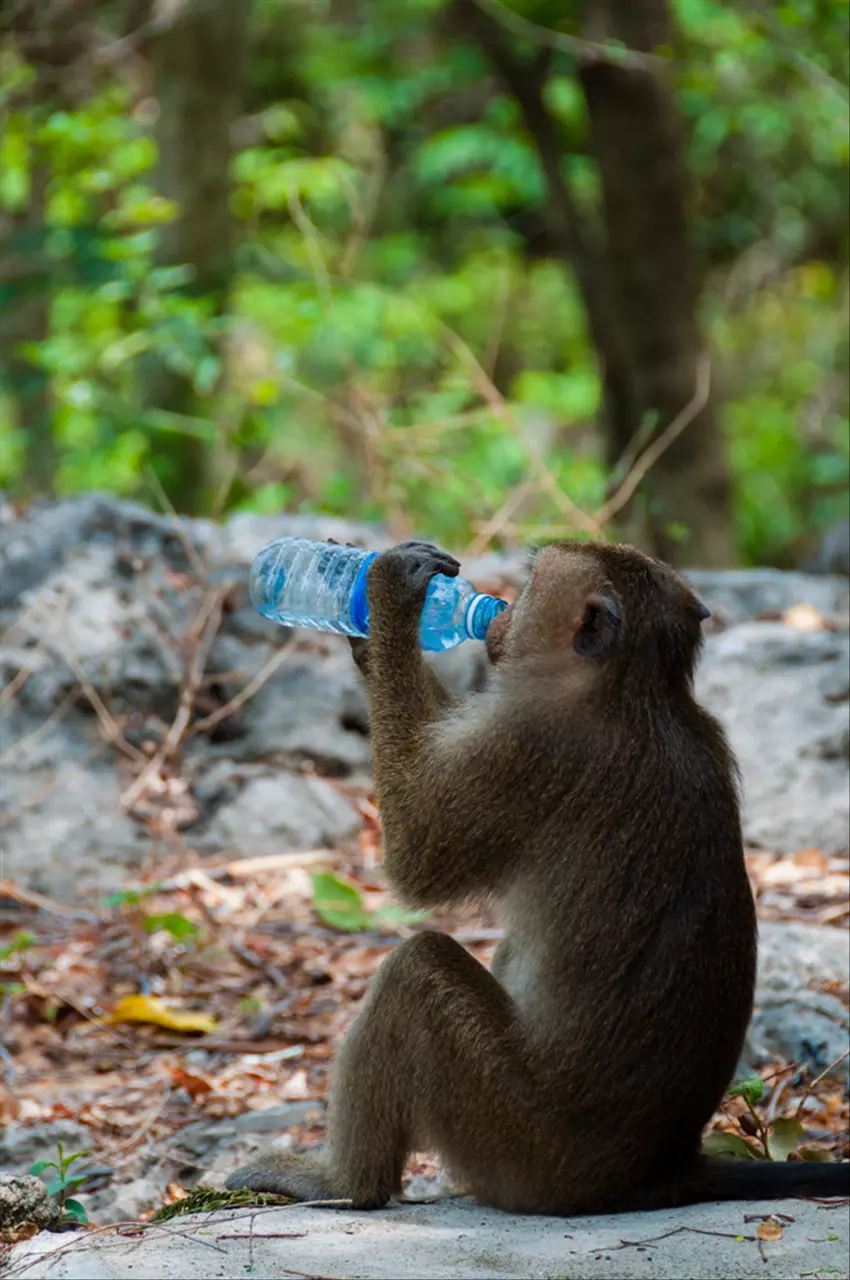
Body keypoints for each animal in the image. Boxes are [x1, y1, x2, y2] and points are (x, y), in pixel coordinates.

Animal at [225, 537, 850, 1208]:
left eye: (528, 586)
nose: (497, 610)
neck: (632, 690)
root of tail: (660, 1169)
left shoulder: (527, 739)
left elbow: (419, 858)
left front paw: (389, 597)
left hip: (517, 1140)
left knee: (416, 973)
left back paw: (345, 1182)